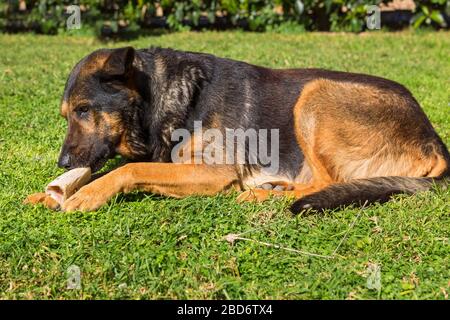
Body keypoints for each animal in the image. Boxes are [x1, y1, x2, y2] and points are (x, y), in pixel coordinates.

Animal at [25, 46, 450, 212]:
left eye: (84, 110)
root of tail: (435, 144)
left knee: (327, 182)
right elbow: (121, 165)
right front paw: (50, 194)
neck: (167, 95)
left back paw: (261, 195)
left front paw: (87, 194)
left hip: (314, 95)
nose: (63, 164)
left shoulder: (214, 171)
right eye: (66, 115)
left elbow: (130, 168)